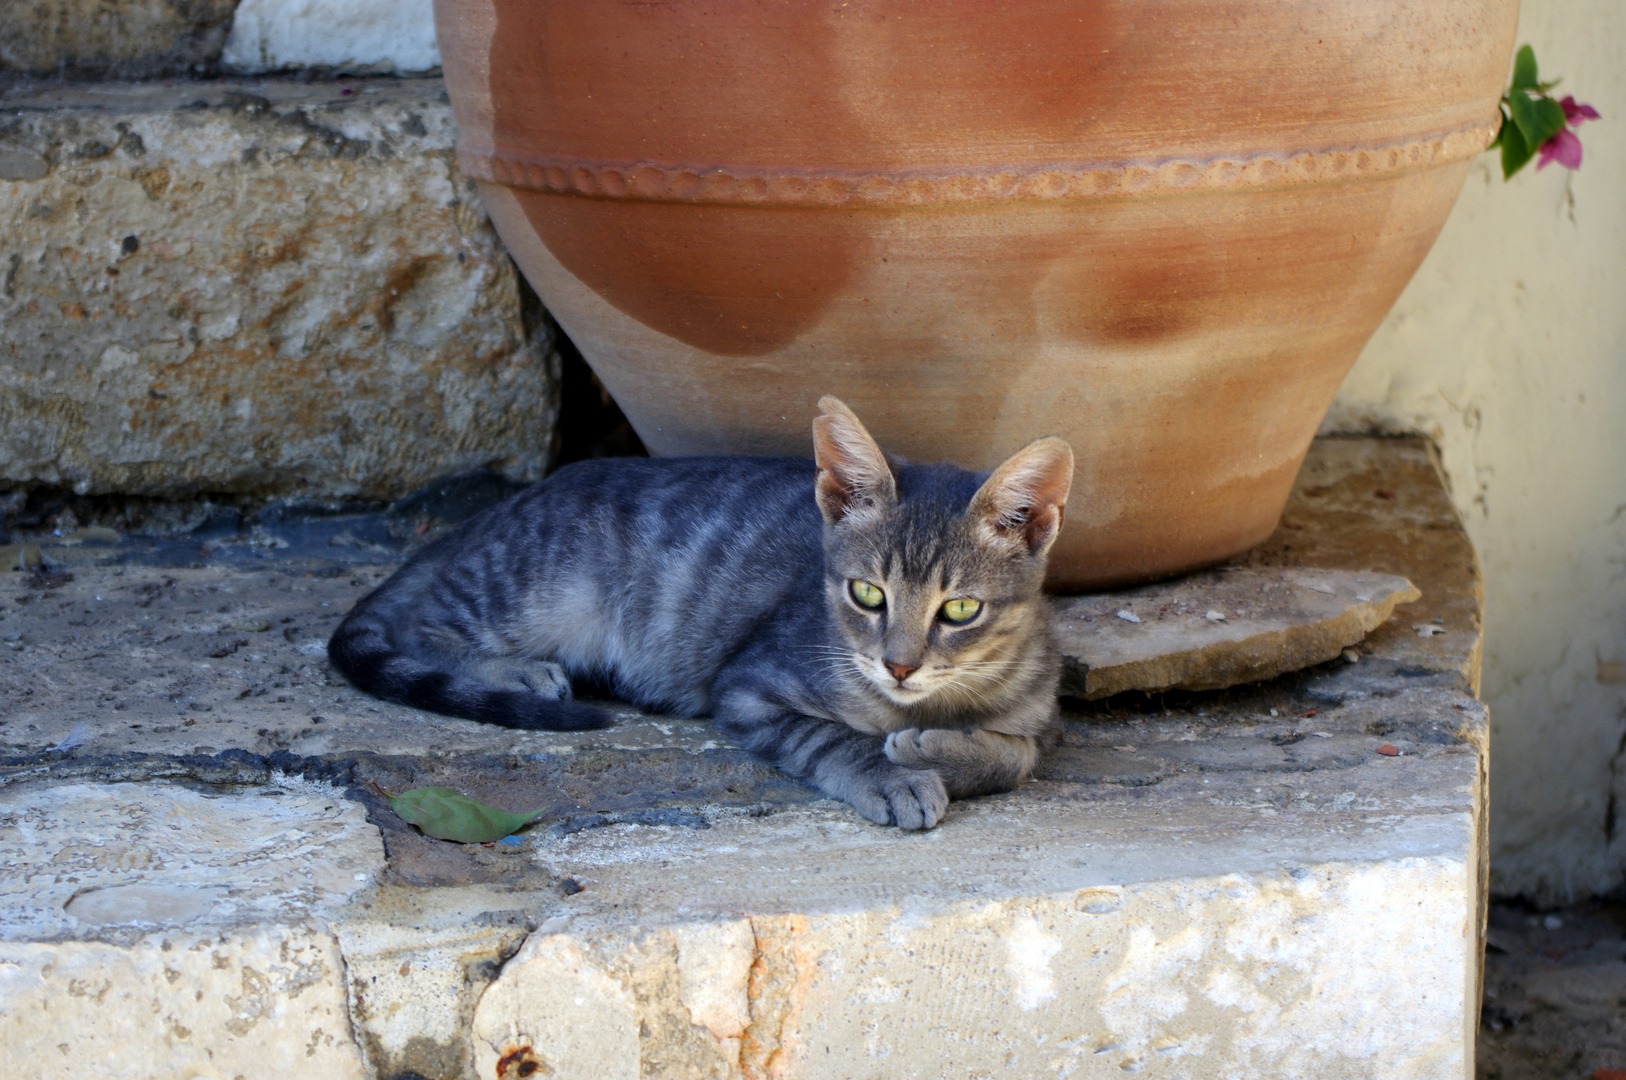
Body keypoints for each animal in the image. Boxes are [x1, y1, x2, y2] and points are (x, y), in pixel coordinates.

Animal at [325, 396, 1073, 826]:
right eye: (867, 594)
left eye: (961, 609)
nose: (898, 666)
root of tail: (499, 508)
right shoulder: (746, 685)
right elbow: (830, 737)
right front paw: (891, 771)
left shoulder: (1042, 716)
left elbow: (1020, 756)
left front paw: (942, 749)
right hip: (540, 590)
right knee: (422, 624)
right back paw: (515, 672)